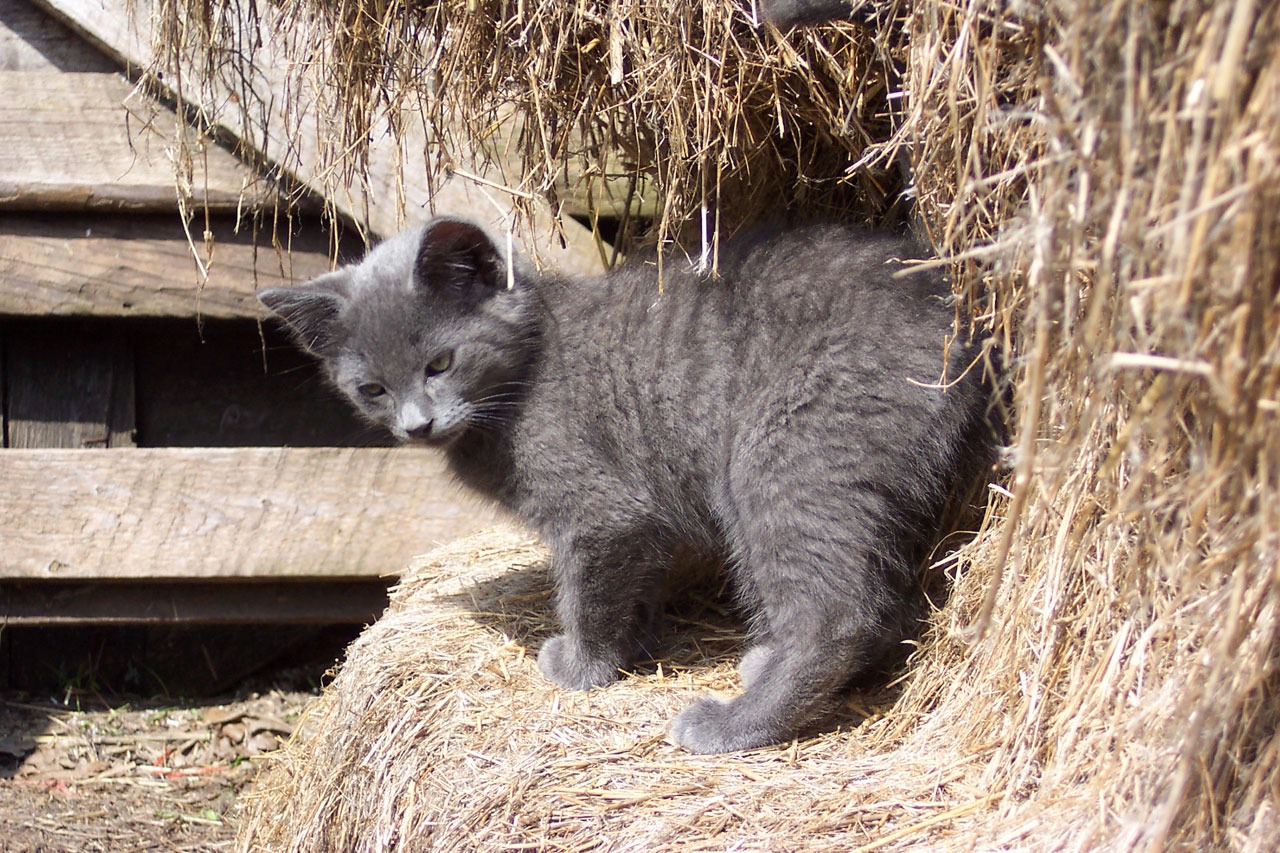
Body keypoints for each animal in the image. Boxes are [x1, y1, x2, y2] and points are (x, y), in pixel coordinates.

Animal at [259, 217, 993, 753]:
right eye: (372, 389)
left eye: (441, 362)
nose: (417, 424)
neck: (524, 376)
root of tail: (944, 310)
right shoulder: (641, 512)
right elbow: (635, 582)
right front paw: (632, 648)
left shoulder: (600, 511)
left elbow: (588, 591)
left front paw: (582, 666)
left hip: (782, 456)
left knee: (834, 615)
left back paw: (734, 723)